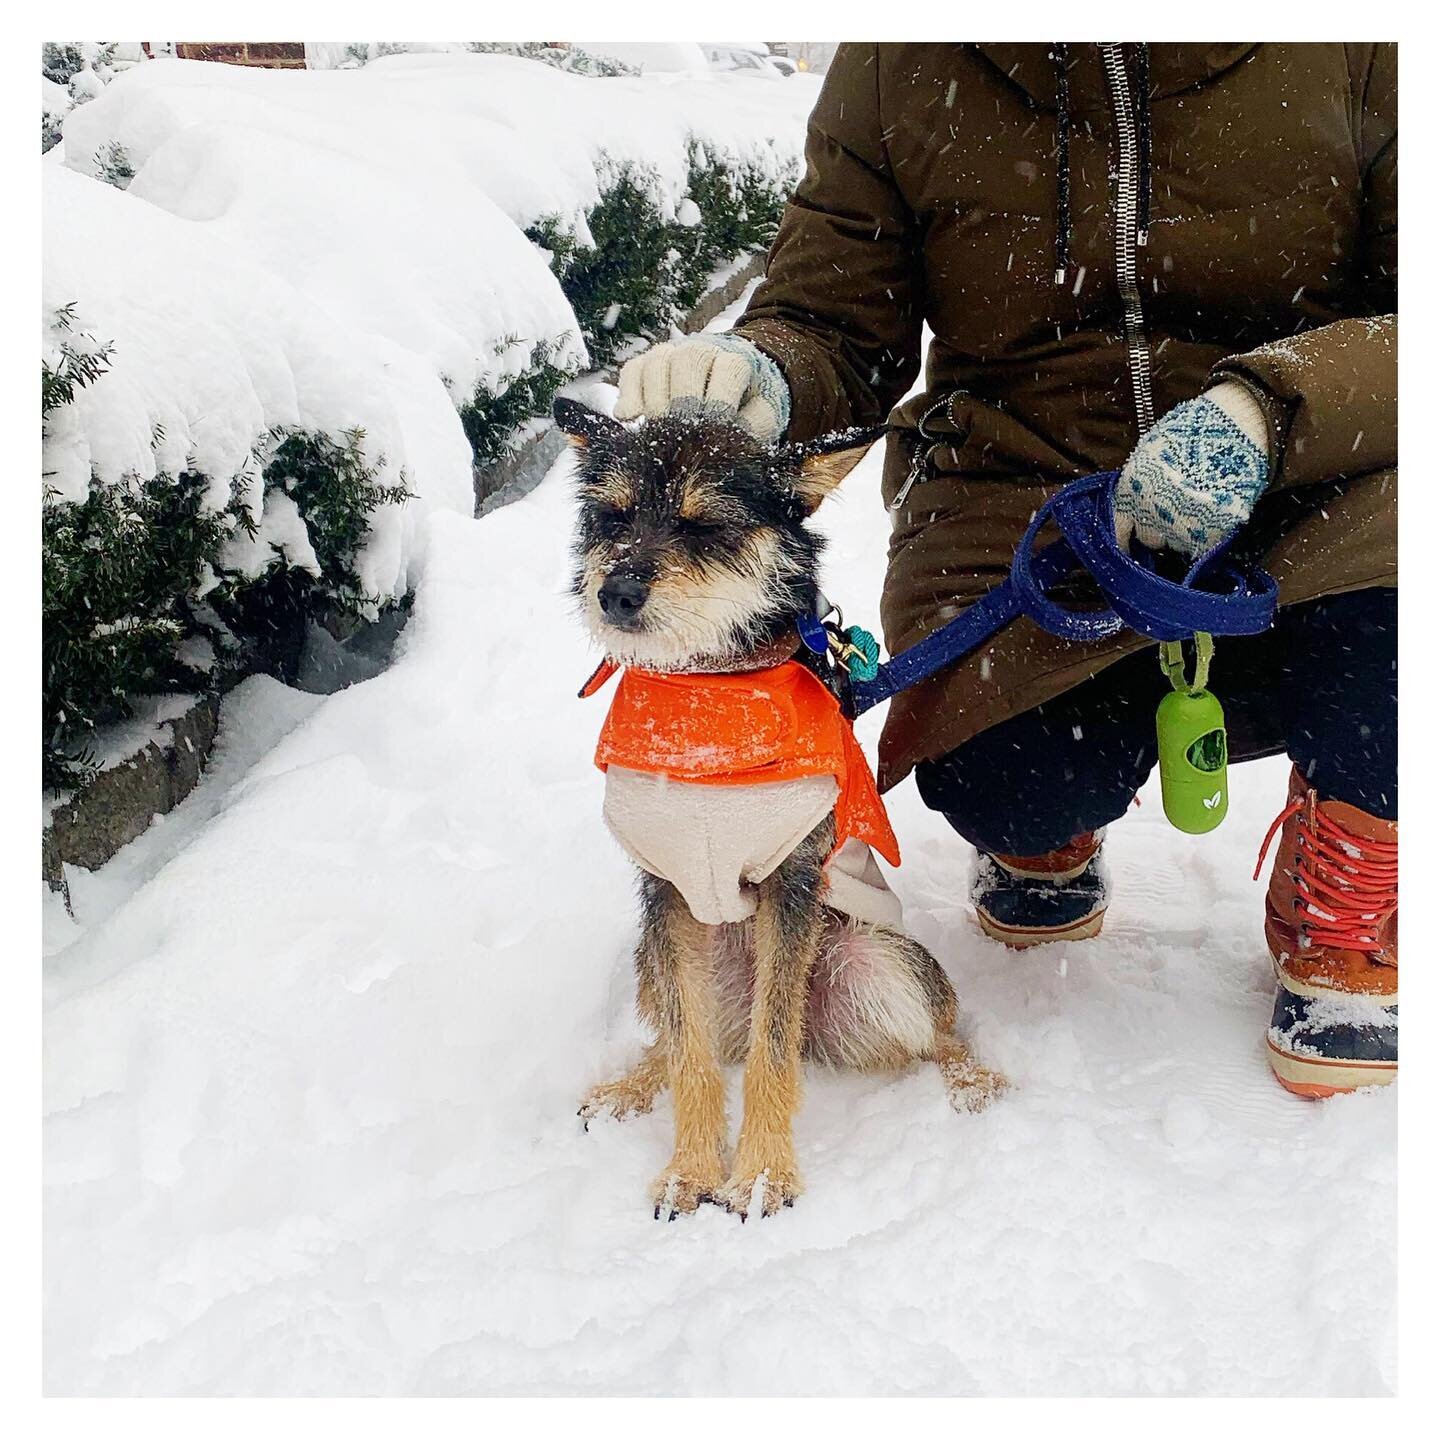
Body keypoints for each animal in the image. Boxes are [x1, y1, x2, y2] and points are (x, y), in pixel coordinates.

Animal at [555, 397, 1008, 1226]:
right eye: (614, 515)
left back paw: (972, 1079)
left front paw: (763, 1172)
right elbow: (691, 1056)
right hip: (657, 960)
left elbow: (771, 1051)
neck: (707, 699)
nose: (615, 593)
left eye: (704, 525)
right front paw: (690, 1169)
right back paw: (629, 1085)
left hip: (876, 961)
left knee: (935, 1033)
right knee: (678, 1041)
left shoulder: (791, 882)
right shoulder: (666, 888)